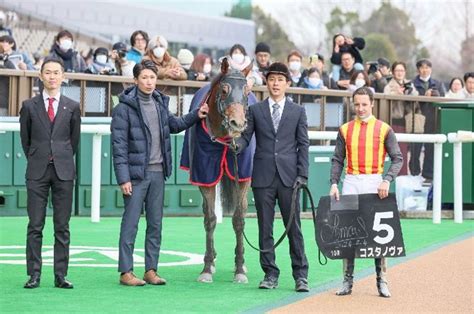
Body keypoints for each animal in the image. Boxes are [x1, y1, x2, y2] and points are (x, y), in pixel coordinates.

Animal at [181, 57, 256, 284]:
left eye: (247, 91)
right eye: (224, 90)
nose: (238, 123)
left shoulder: (243, 177)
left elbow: (239, 220)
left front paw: (240, 269)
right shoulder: (205, 174)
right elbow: (210, 219)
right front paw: (206, 267)